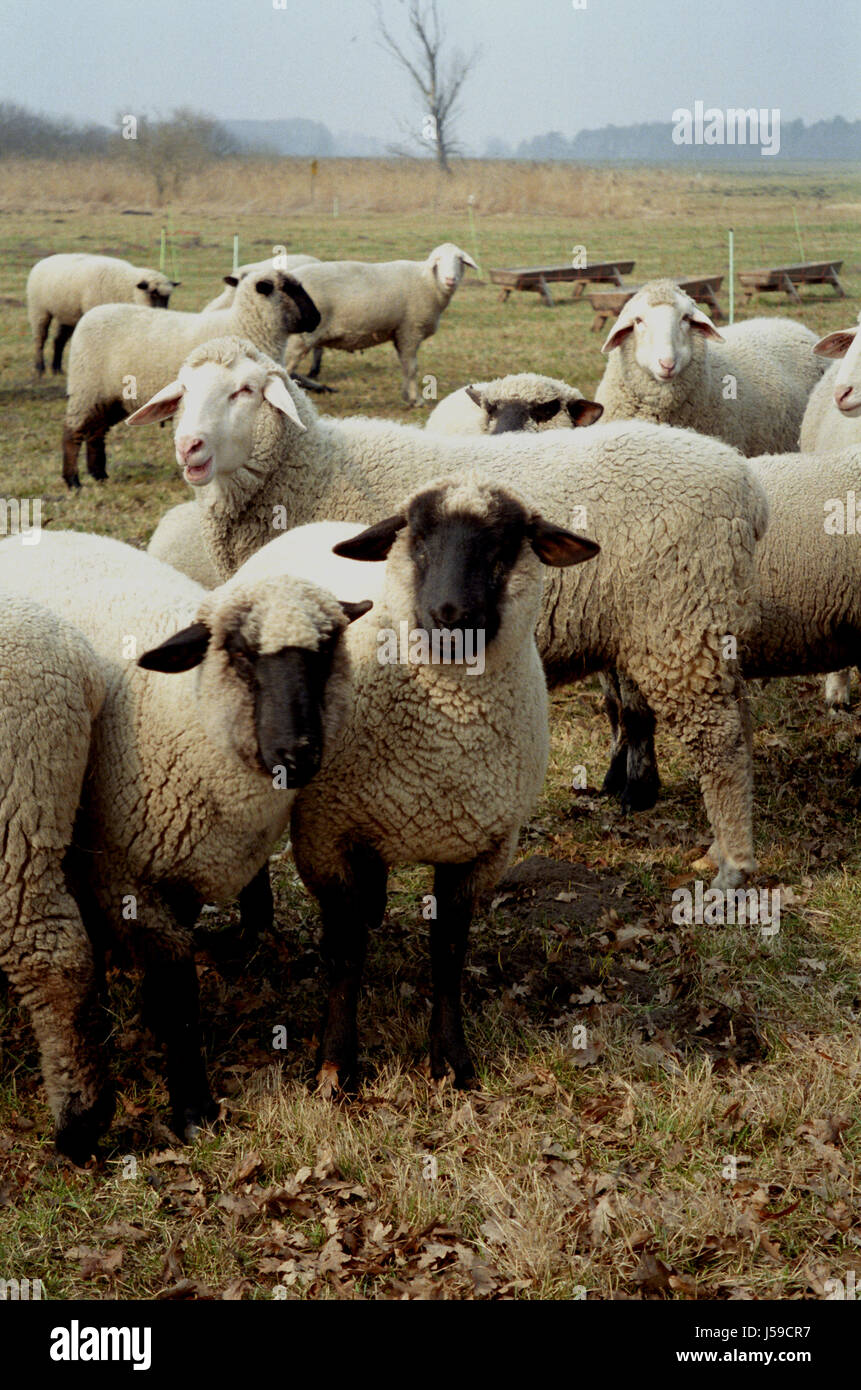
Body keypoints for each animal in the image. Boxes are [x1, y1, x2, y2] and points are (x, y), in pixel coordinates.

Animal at [0, 530, 370, 1145]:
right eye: (239, 653)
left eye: (325, 652)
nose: (298, 753)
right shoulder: (131, 874)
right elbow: (178, 990)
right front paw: (194, 1107)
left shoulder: (184, 870)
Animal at [27, 253, 178, 377]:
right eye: (153, 293)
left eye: (168, 297)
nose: (163, 313)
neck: (126, 287)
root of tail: (44, 260)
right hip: (39, 310)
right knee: (40, 339)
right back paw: (39, 368)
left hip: (67, 315)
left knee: (59, 341)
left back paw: (57, 370)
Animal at [61, 268, 321, 488]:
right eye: (289, 289)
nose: (317, 319)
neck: (244, 325)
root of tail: (89, 315)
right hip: (86, 388)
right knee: (73, 431)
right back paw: (73, 480)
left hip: (109, 397)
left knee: (96, 434)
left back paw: (99, 474)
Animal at [282, 243, 478, 404]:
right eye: (438, 261)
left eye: (460, 260)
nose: (450, 280)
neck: (429, 283)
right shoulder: (410, 330)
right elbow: (412, 367)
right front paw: (416, 400)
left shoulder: (399, 333)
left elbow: (405, 366)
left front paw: (406, 396)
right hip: (299, 337)